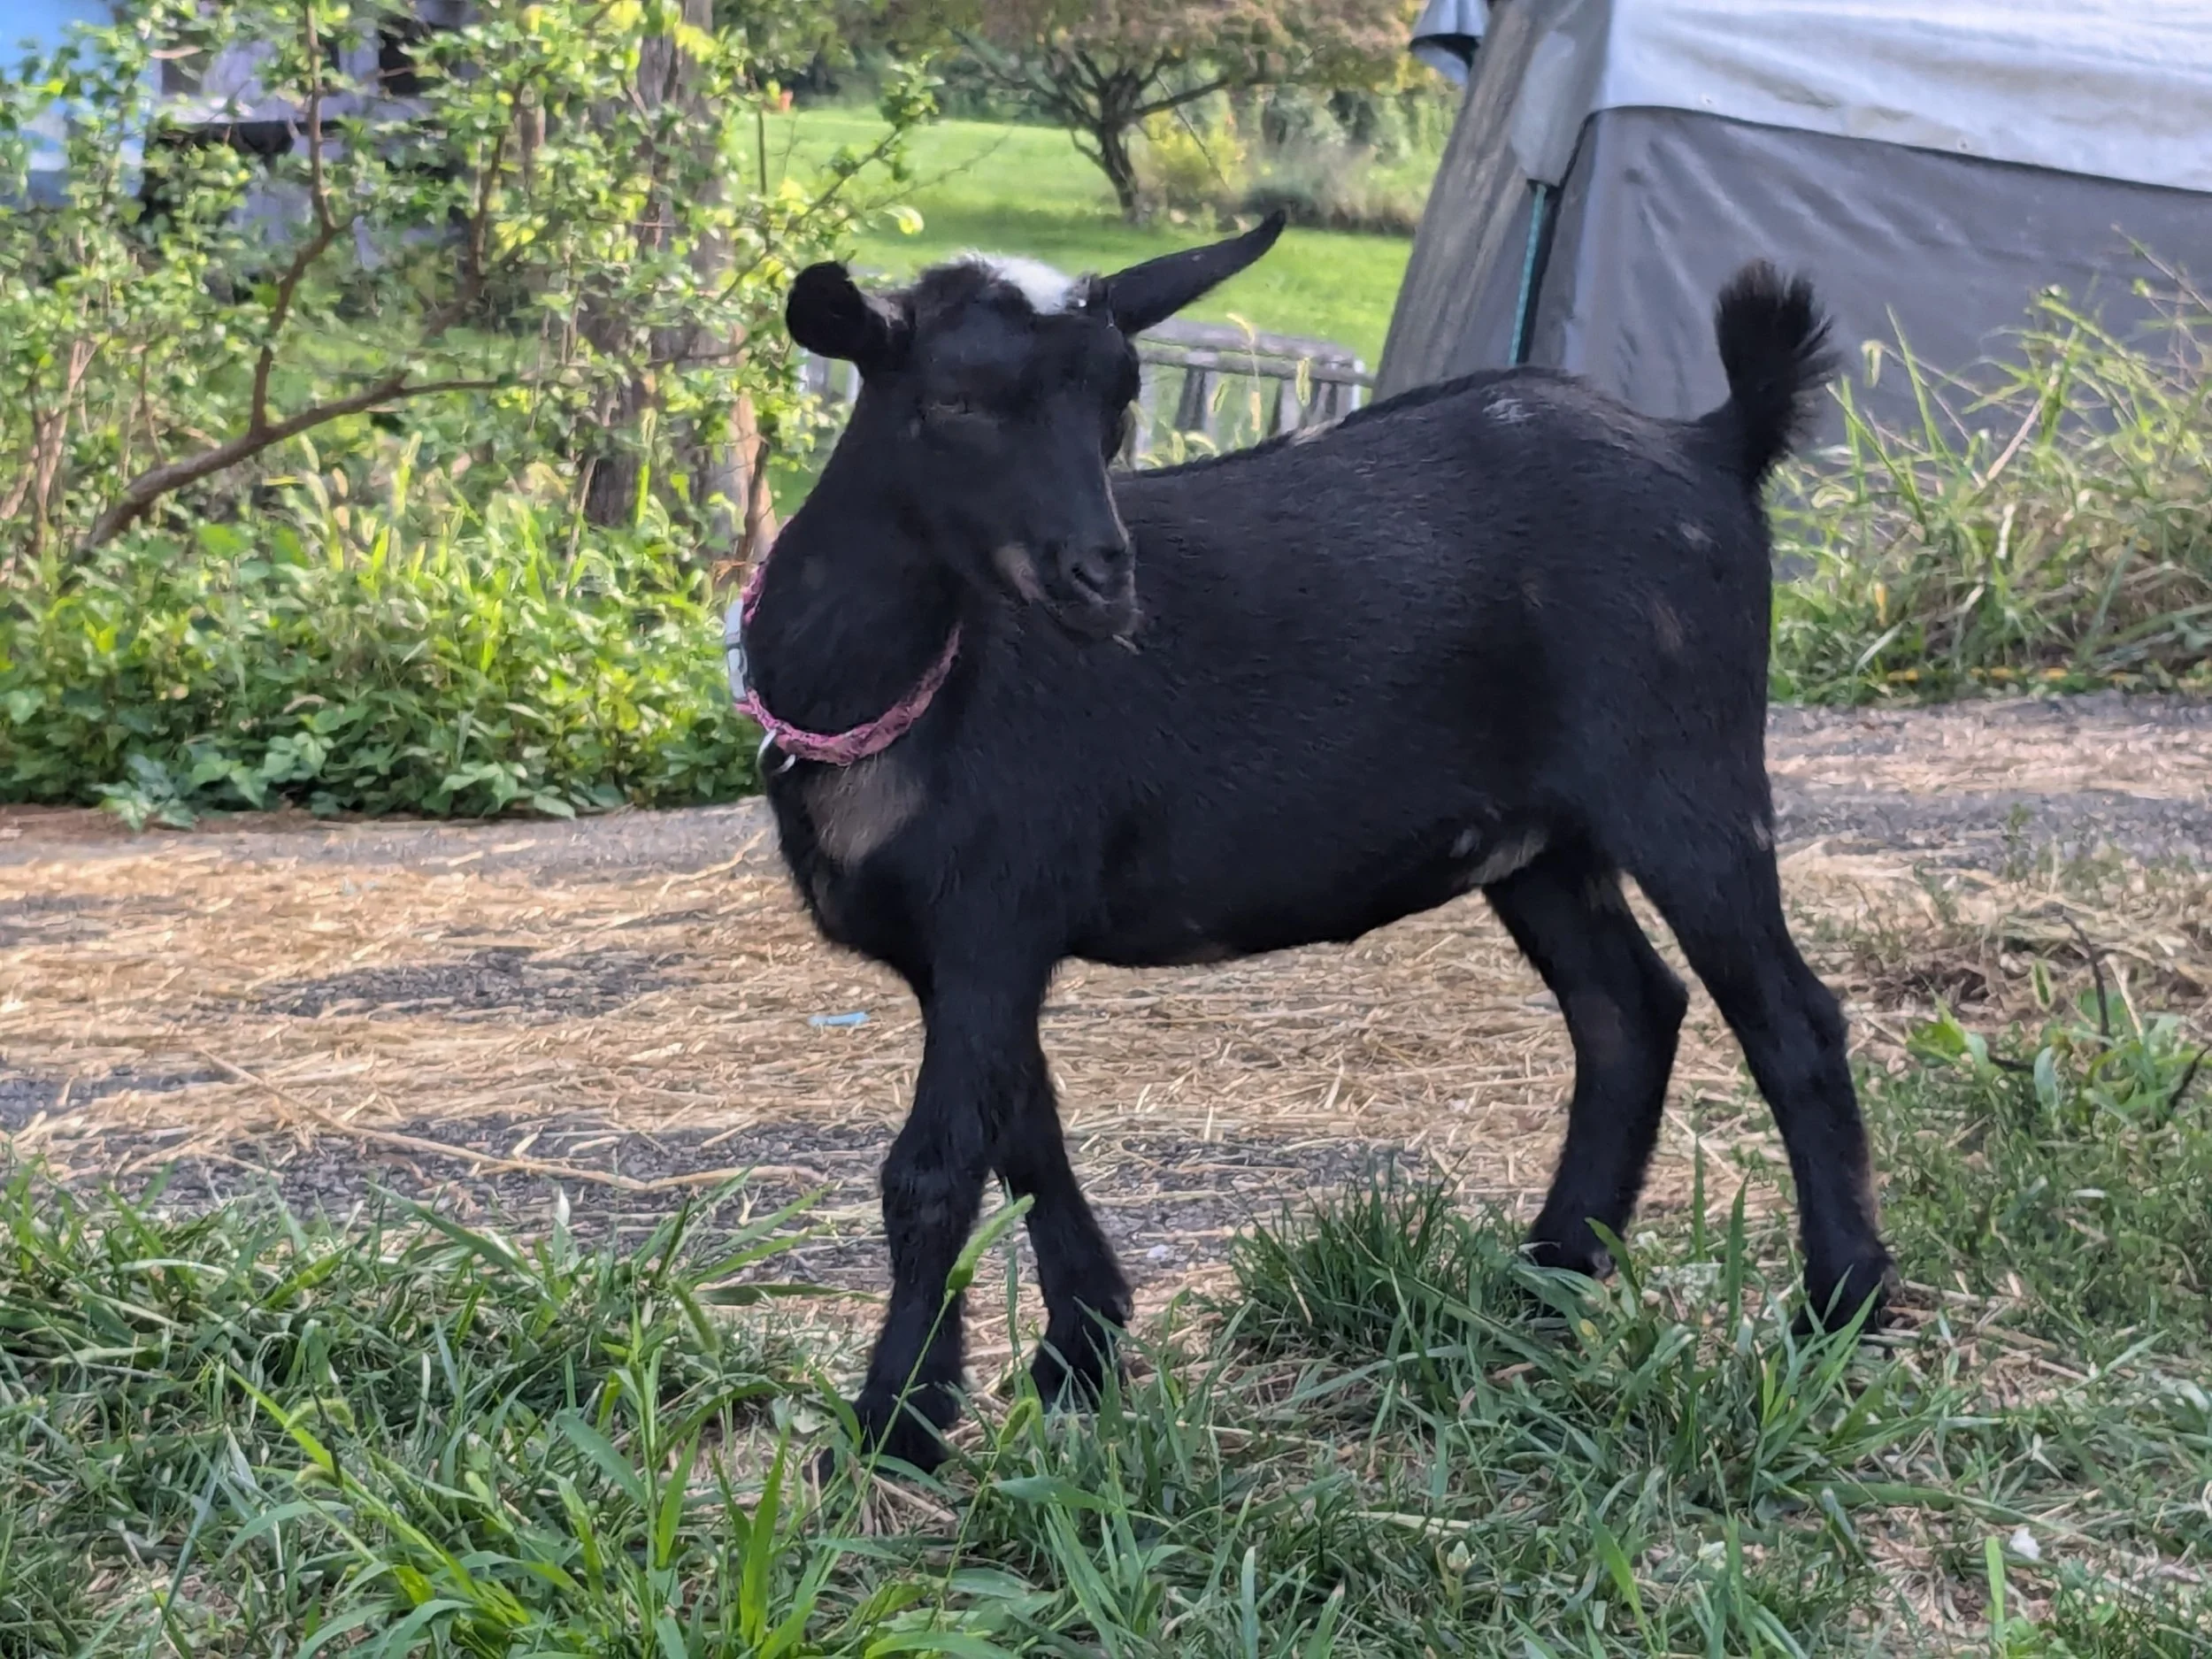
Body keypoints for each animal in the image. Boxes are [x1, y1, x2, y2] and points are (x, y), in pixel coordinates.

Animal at [741, 214, 1894, 1471]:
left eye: (1118, 401)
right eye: (951, 400)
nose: (1101, 581)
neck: (905, 685)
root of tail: (1711, 444)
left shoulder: (997, 910)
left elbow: (936, 1166)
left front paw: (892, 1425)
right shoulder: (960, 952)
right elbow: (1024, 1135)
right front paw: (1076, 1353)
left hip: (1684, 774)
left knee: (1788, 1020)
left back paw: (1840, 1307)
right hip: (1540, 841)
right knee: (1627, 1011)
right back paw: (1543, 1281)